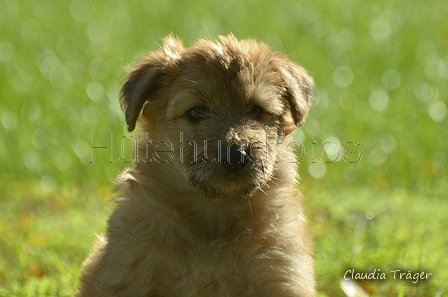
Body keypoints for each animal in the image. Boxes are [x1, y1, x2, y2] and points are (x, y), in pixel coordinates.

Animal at [75, 35, 316, 296]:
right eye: (195, 111)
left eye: (256, 110)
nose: (235, 155)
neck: (215, 212)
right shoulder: (131, 270)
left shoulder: (281, 273)